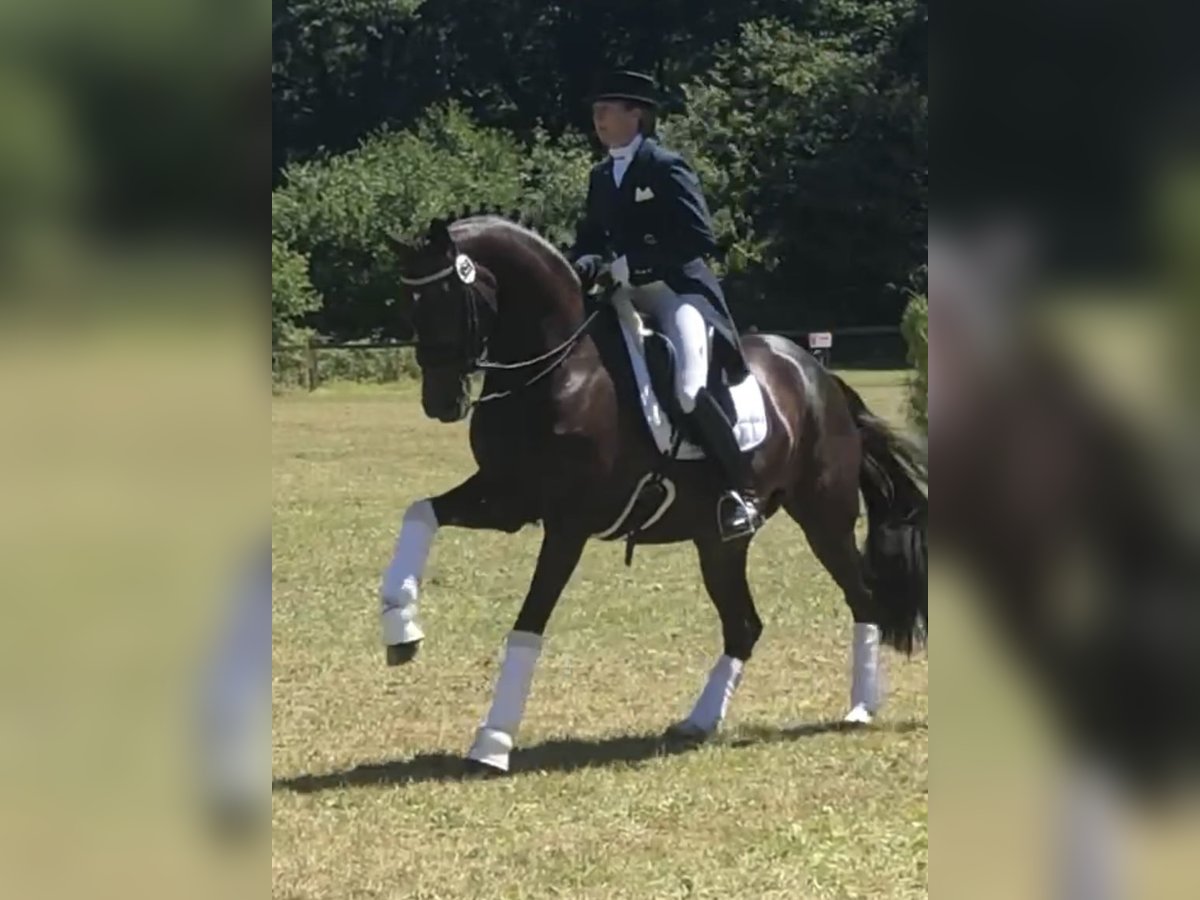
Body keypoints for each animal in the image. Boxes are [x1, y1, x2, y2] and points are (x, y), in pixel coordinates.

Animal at [379, 213, 921, 777]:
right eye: (409, 305)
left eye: (448, 299)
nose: (440, 403)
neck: (559, 372)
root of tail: (818, 374)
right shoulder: (509, 498)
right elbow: (419, 513)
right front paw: (401, 629)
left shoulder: (567, 525)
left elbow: (529, 623)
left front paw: (493, 742)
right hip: (719, 543)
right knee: (744, 625)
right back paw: (699, 722)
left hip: (823, 518)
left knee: (862, 600)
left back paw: (860, 708)